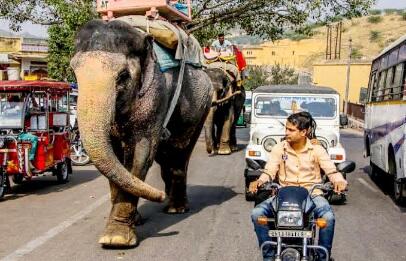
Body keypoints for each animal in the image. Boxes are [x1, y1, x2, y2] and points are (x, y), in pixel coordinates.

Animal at [70, 19, 213, 247]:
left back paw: (176, 208)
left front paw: (116, 239)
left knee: (180, 152)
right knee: (165, 157)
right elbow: (116, 158)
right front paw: (133, 222)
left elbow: (141, 154)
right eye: (73, 73)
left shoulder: (155, 94)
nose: (159, 195)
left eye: (123, 76)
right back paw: (169, 199)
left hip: (201, 107)